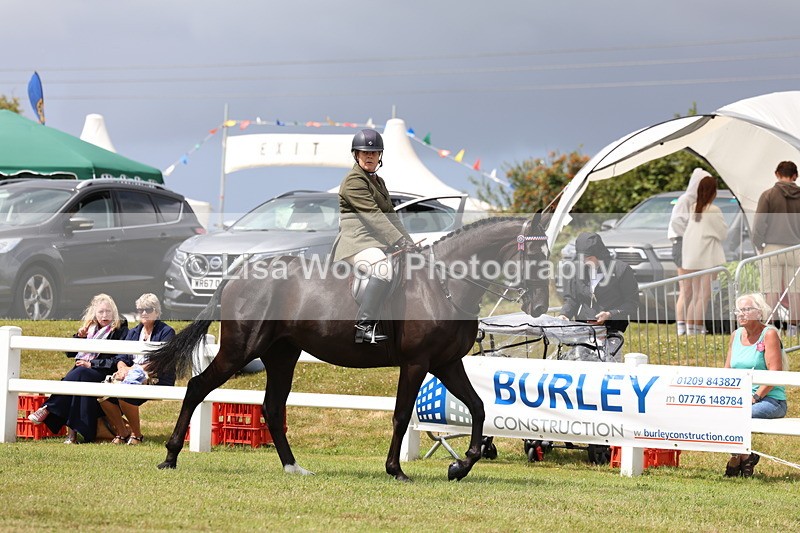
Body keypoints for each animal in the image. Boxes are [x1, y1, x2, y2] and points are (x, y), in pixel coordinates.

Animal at [147, 214, 550, 482]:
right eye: (534, 256)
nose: (539, 306)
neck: (443, 283)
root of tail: (239, 274)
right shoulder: (417, 363)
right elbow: (402, 415)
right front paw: (396, 470)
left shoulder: (447, 363)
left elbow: (479, 407)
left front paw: (460, 466)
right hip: (240, 349)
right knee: (198, 386)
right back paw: (170, 457)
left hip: (281, 355)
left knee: (272, 408)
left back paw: (293, 466)